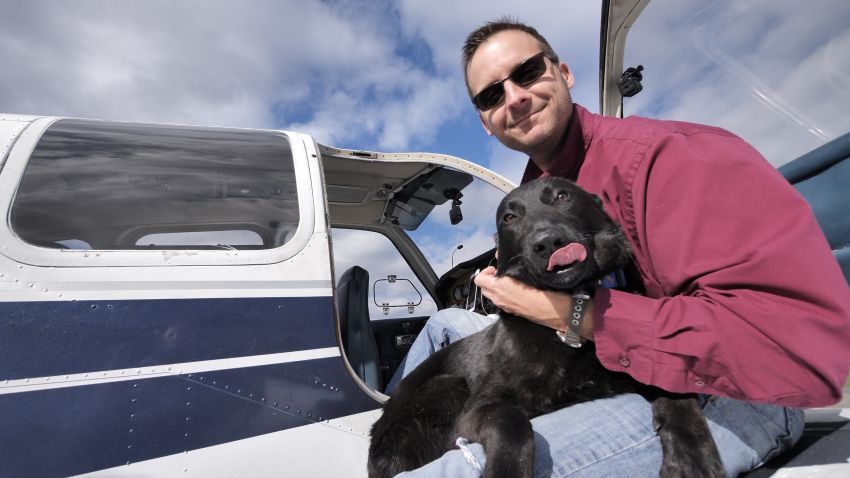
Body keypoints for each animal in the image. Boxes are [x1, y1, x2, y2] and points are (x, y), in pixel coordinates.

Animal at [368, 177, 720, 476]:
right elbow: (513, 424)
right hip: (448, 386)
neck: (573, 303)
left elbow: (677, 395)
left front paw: (692, 458)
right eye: (509, 218)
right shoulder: (476, 411)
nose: (548, 243)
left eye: (563, 196)